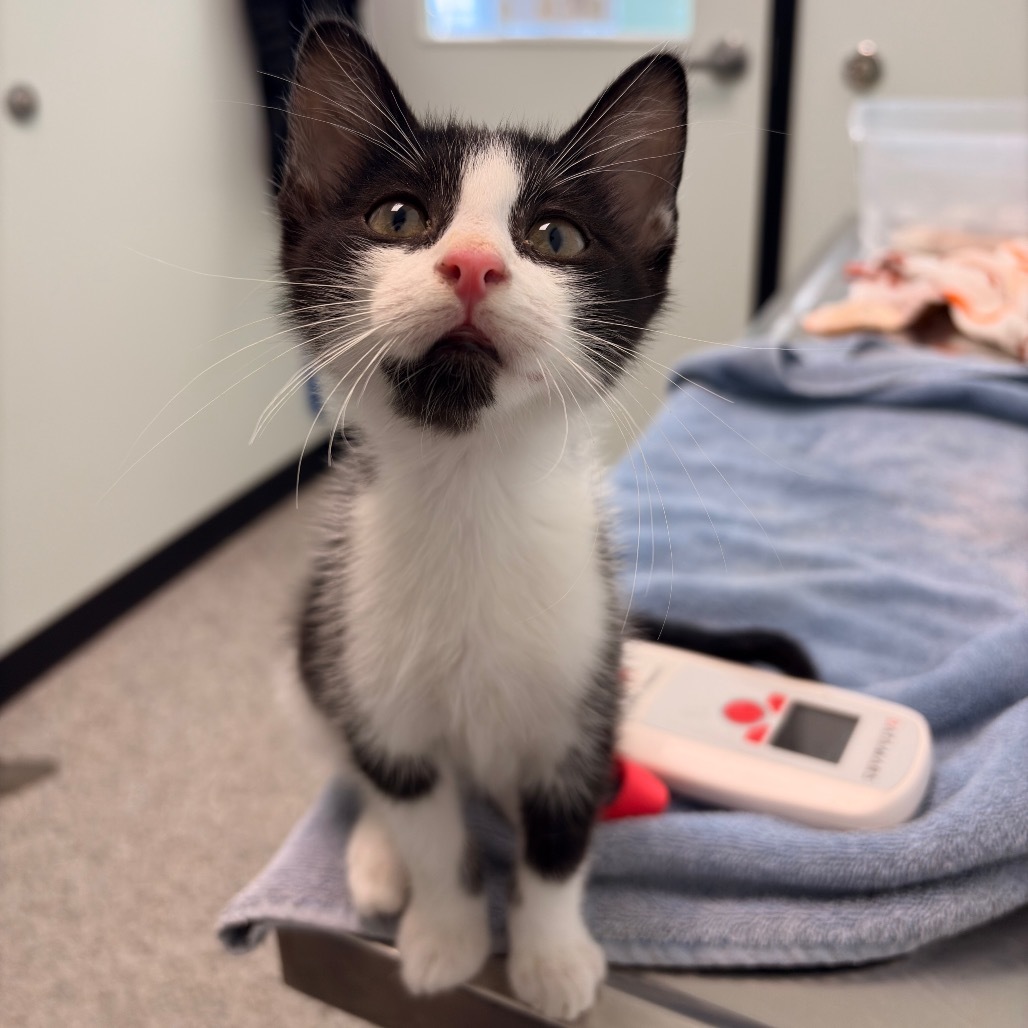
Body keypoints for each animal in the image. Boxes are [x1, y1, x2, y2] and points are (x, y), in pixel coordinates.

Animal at [281, 22, 686, 1019]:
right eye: (398, 219)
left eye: (554, 236)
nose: (473, 263)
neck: (470, 493)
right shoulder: (370, 673)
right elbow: (424, 824)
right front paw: (446, 937)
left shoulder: (585, 690)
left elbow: (559, 842)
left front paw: (551, 956)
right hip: (310, 658)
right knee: (351, 769)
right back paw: (375, 856)